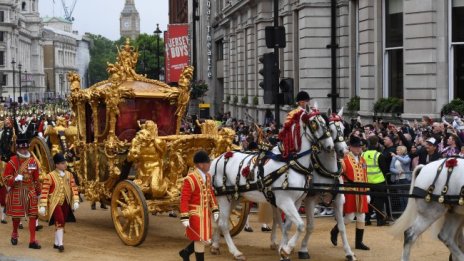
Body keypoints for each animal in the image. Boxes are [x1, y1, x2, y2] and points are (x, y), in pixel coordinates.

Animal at [209, 107, 334, 260]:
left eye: (326, 123)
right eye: (314, 124)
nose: (330, 146)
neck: (291, 164)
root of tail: (218, 158)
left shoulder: (297, 201)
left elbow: (288, 226)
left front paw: (283, 248)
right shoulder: (284, 201)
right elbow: (300, 225)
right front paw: (286, 249)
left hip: (234, 197)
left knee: (219, 220)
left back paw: (215, 246)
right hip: (224, 197)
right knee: (223, 223)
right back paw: (235, 252)